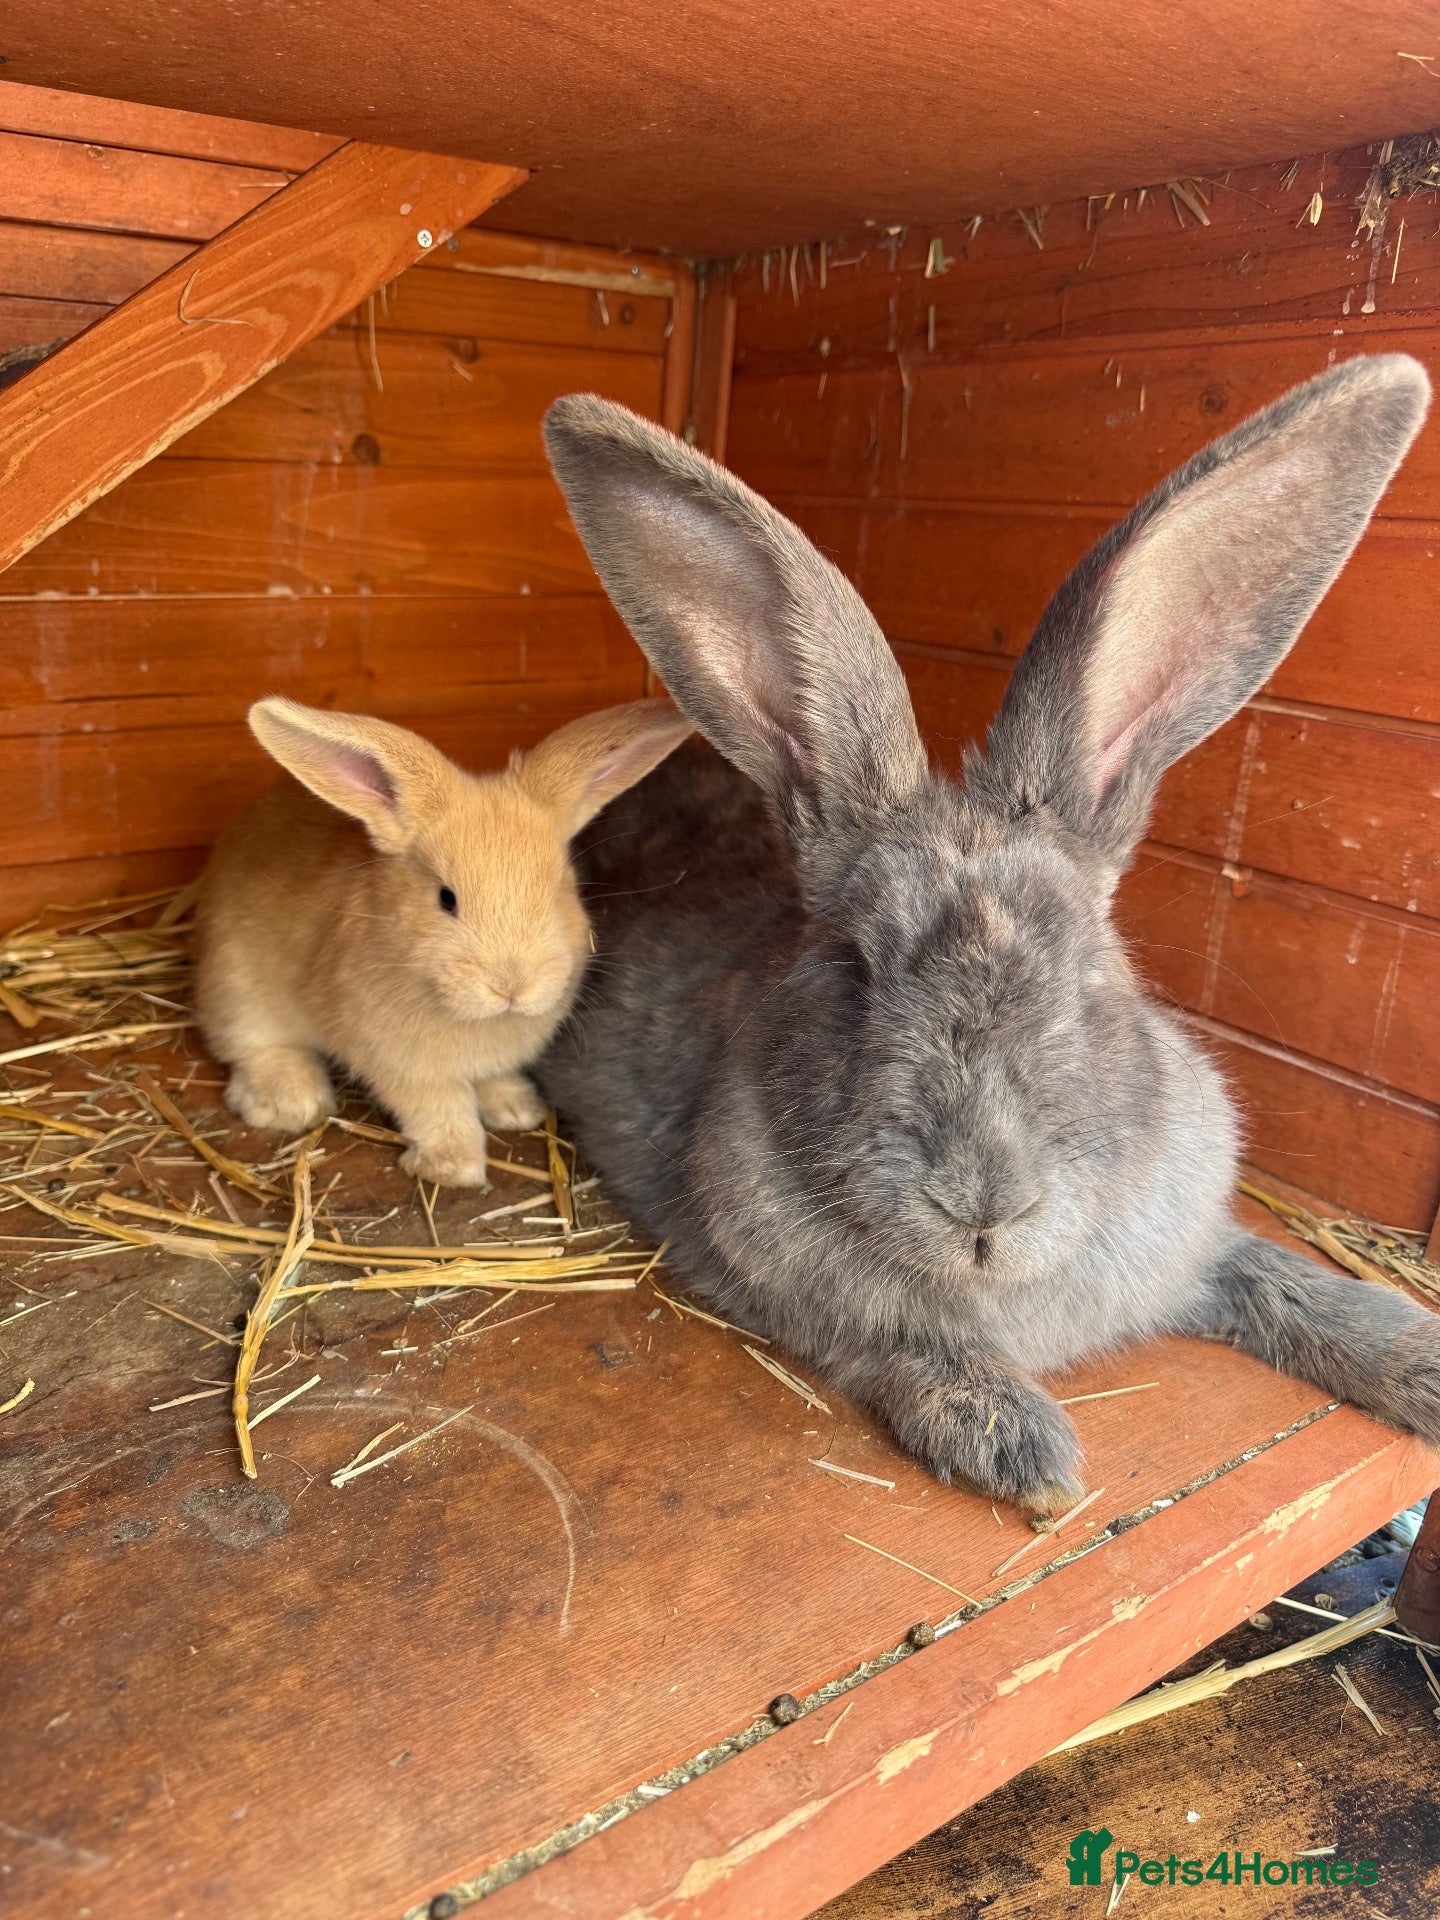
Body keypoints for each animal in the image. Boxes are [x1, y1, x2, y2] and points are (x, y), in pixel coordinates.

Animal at [194, 696, 692, 1187]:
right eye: (446, 899)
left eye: (559, 890)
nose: (512, 987)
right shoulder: (406, 1067)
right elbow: (439, 1112)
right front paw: (453, 1167)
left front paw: (516, 1109)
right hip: (240, 992)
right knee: (254, 1048)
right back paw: (291, 1101)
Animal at [536, 354, 1440, 1510]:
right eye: (853, 969)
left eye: (1093, 975)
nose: (981, 1209)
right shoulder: (798, 1298)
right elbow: (909, 1350)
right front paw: (1022, 1449)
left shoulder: (1198, 1244)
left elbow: (1286, 1279)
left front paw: (1420, 1361)